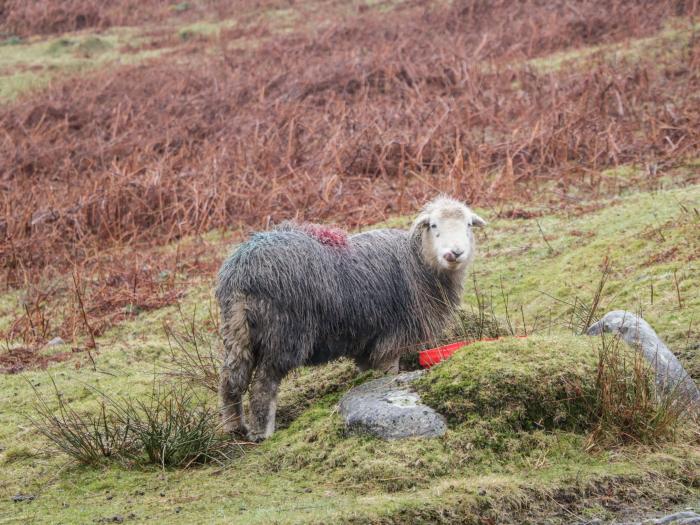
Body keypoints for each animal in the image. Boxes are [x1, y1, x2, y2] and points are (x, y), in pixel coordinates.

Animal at [216, 194, 484, 440]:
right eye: (434, 225)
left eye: (468, 225)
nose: (455, 253)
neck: (418, 263)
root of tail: (243, 271)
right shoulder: (392, 338)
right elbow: (389, 373)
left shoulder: (367, 341)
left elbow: (366, 372)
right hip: (284, 333)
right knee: (263, 385)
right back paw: (263, 433)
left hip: (237, 330)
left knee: (231, 379)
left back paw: (234, 427)